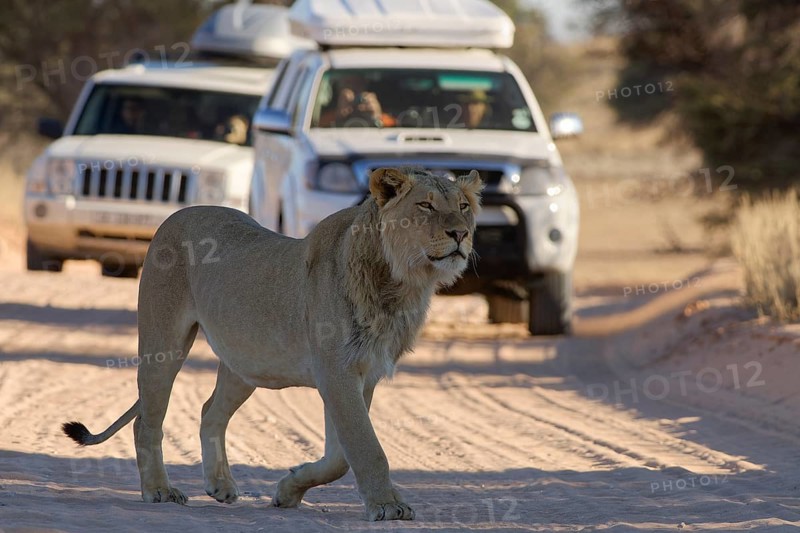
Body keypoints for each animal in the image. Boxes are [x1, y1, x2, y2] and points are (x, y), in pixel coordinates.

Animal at [62, 167, 482, 521]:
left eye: (463, 207)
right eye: (426, 205)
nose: (461, 234)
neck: (401, 286)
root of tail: (177, 215)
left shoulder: (362, 375)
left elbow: (340, 456)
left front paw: (287, 491)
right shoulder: (337, 372)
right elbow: (366, 448)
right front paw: (387, 506)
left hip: (246, 363)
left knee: (209, 412)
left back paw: (220, 485)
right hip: (163, 343)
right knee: (147, 421)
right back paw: (160, 491)